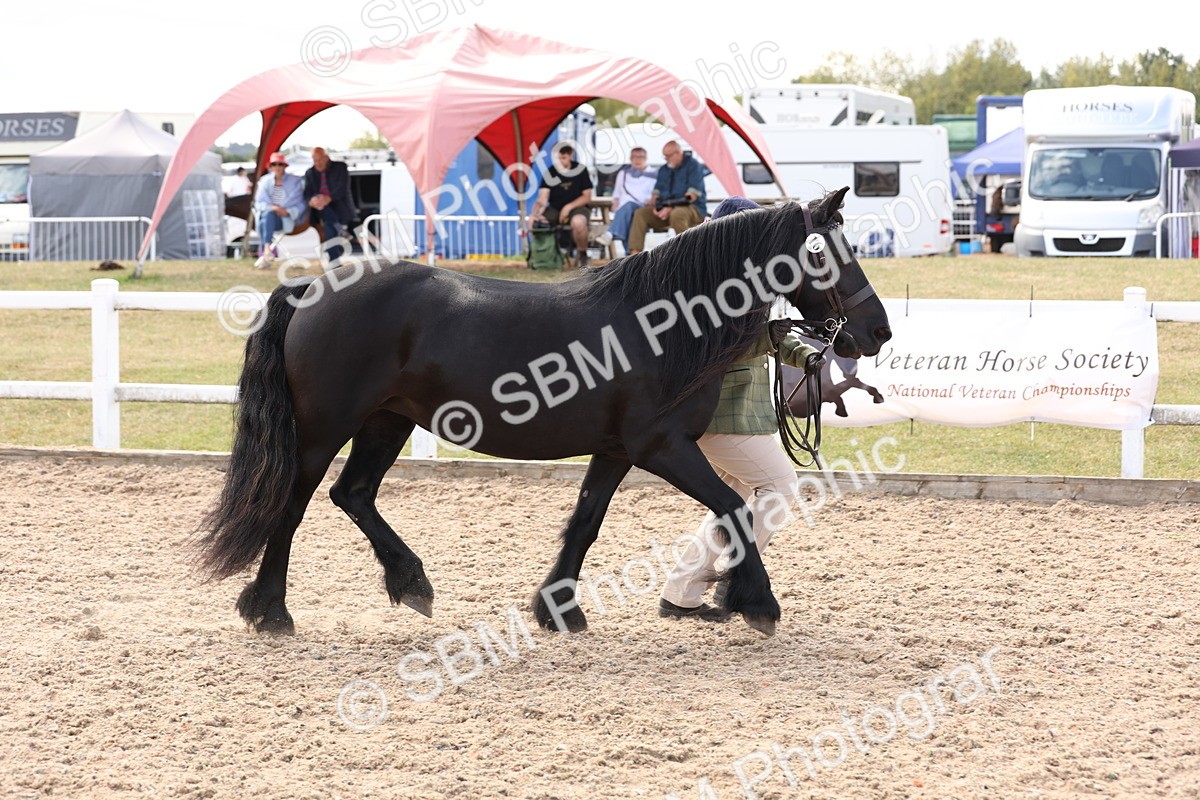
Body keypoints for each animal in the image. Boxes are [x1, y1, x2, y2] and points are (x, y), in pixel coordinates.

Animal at [198, 186, 892, 637]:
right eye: (824, 253)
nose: (877, 330)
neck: (659, 323)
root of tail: (312, 287)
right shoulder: (661, 447)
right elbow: (733, 509)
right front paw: (757, 603)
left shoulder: (616, 451)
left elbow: (584, 524)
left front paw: (557, 609)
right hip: (324, 428)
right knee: (291, 505)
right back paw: (270, 610)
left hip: (387, 421)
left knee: (354, 494)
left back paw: (410, 583)